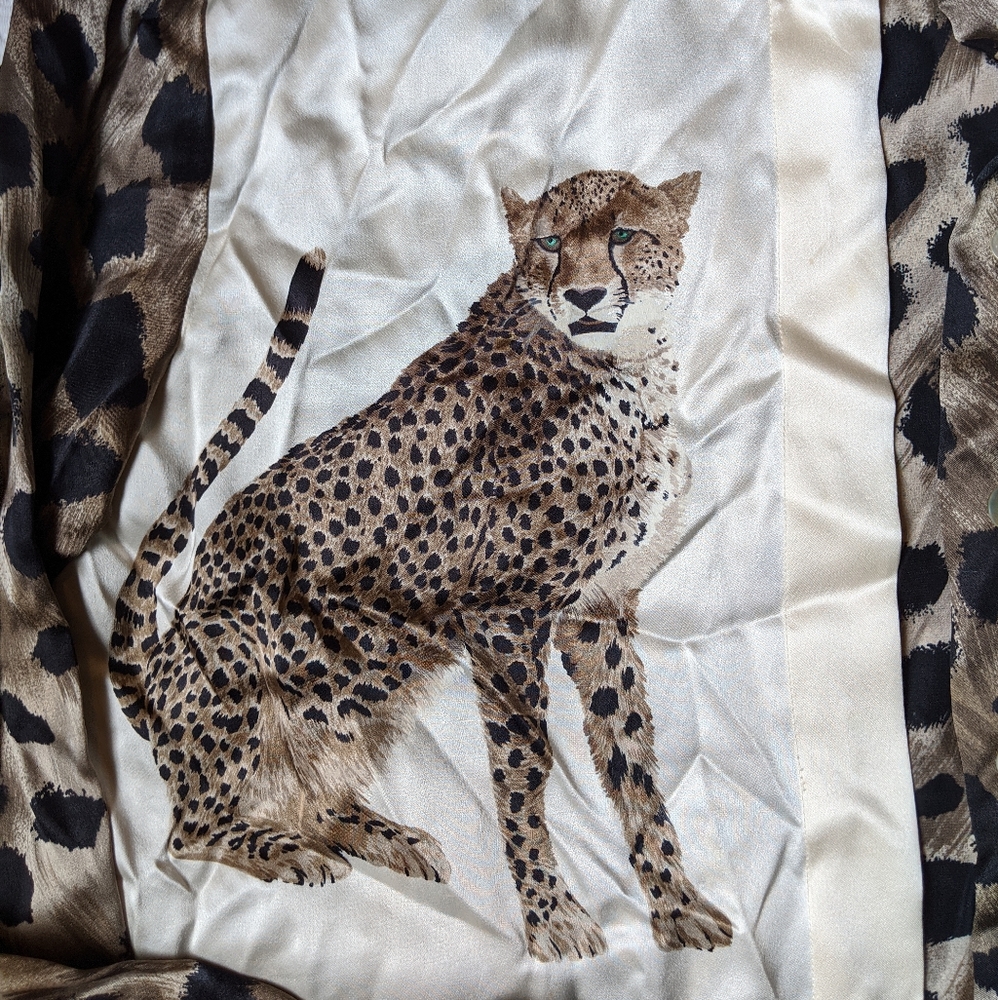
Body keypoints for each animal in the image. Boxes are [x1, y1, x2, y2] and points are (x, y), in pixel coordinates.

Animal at [109, 169, 733, 962]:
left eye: (624, 234)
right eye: (549, 243)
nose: (586, 296)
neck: (622, 370)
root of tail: (152, 679)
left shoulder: (597, 613)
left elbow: (631, 759)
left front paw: (677, 907)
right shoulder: (504, 616)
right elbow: (525, 769)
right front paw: (550, 919)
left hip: (368, 682)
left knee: (316, 793)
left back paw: (385, 837)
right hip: (239, 643)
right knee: (187, 831)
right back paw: (286, 851)